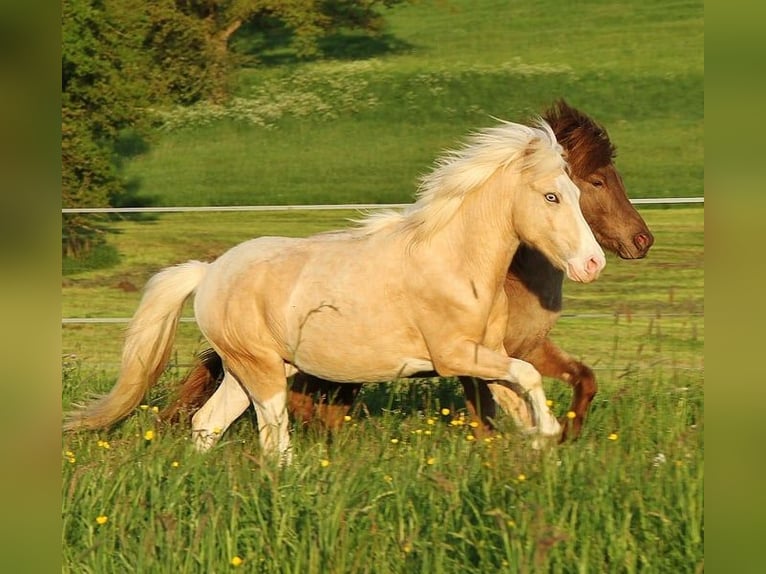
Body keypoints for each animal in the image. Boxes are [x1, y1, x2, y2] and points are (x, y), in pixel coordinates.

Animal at [64, 118, 608, 464]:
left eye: (578, 193)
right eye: (552, 196)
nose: (592, 263)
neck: (454, 264)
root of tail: (210, 271)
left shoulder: (488, 356)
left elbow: (518, 398)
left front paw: (541, 447)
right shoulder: (457, 355)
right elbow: (529, 376)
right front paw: (550, 434)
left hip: (249, 370)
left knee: (208, 424)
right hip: (261, 371)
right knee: (273, 441)